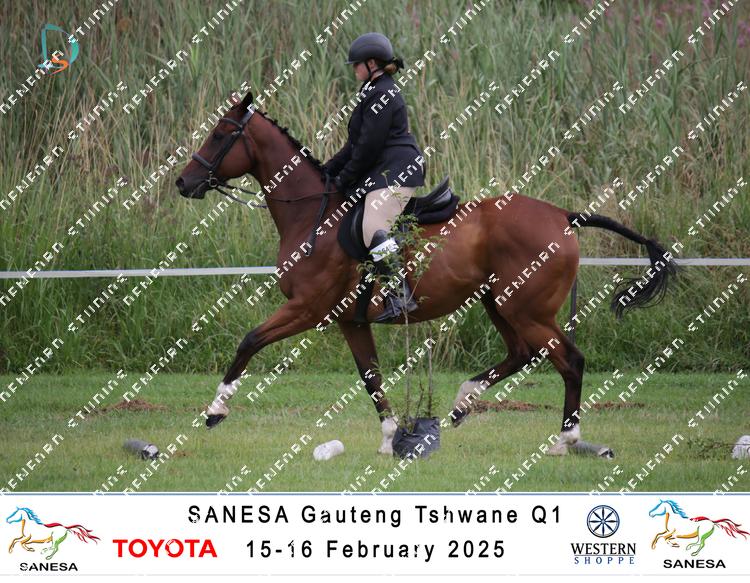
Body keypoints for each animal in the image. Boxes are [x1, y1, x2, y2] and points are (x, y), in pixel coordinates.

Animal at [175, 90, 676, 455]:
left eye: (220, 135)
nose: (183, 183)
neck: (311, 215)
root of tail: (564, 216)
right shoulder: (350, 321)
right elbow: (371, 378)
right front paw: (389, 438)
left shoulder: (306, 309)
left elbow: (250, 341)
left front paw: (215, 411)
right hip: (499, 302)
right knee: (520, 353)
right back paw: (461, 404)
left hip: (526, 309)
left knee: (568, 360)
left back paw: (566, 440)